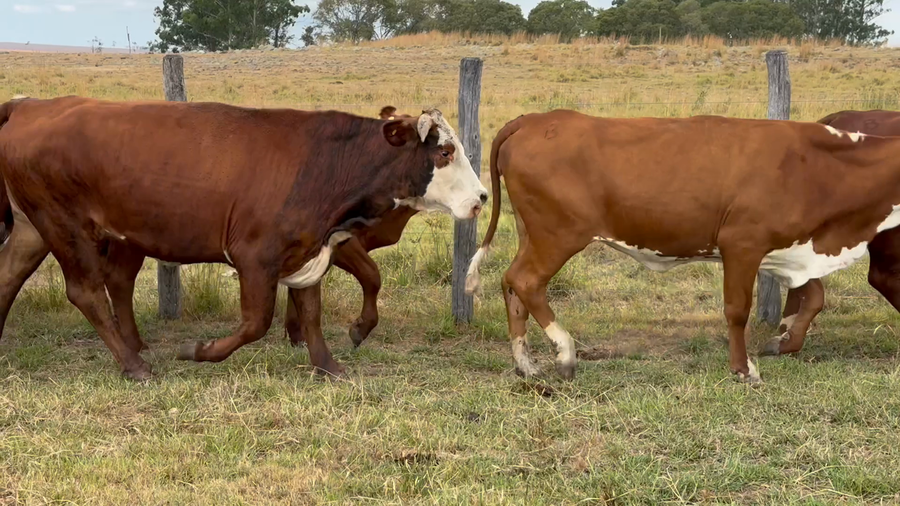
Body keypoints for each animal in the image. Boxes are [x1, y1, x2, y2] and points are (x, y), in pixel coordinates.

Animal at [0, 96, 488, 381]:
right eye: (445, 152)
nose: (482, 197)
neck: (326, 163)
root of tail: (31, 106)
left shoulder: (307, 251)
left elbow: (311, 313)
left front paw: (328, 365)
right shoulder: (255, 257)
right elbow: (255, 323)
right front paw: (198, 350)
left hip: (34, 230)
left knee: (9, 278)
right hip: (66, 227)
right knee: (87, 293)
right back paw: (135, 364)